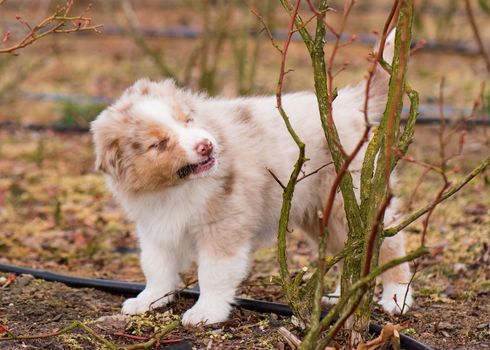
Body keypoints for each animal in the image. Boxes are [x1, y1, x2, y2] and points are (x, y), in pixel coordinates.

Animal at [90, 32, 412, 326]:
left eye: (188, 120)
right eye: (158, 144)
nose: (206, 146)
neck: (174, 187)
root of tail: (349, 102)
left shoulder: (223, 223)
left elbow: (214, 273)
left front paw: (206, 313)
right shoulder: (155, 225)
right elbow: (156, 266)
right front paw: (149, 299)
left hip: (349, 198)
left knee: (389, 244)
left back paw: (396, 298)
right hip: (323, 213)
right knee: (352, 250)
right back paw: (339, 296)